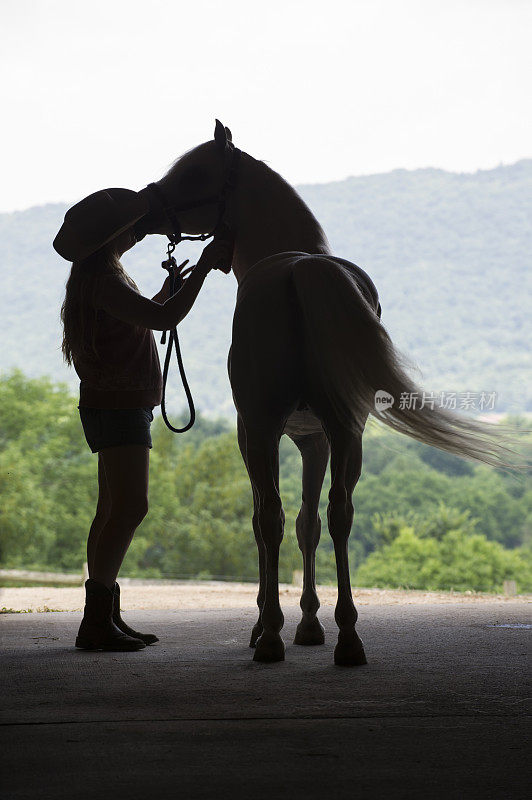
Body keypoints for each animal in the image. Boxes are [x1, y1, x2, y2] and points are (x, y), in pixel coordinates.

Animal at [133, 120, 508, 668]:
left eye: (194, 173)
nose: (143, 207)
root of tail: (301, 270)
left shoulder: (259, 434)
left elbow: (269, 522)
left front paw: (273, 623)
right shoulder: (318, 439)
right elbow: (309, 523)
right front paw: (311, 624)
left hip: (267, 430)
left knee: (271, 518)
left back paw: (271, 637)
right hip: (346, 433)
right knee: (338, 514)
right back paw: (348, 637)